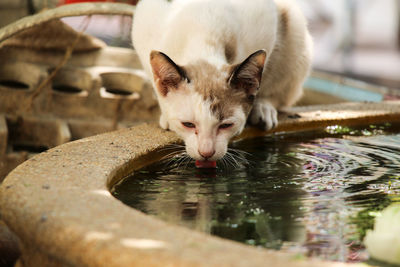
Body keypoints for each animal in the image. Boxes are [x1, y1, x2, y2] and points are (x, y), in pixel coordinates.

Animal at [131, 0, 312, 163]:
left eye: (226, 125)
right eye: (188, 124)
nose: (206, 153)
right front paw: (166, 116)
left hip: (294, 26)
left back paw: (263, 108)